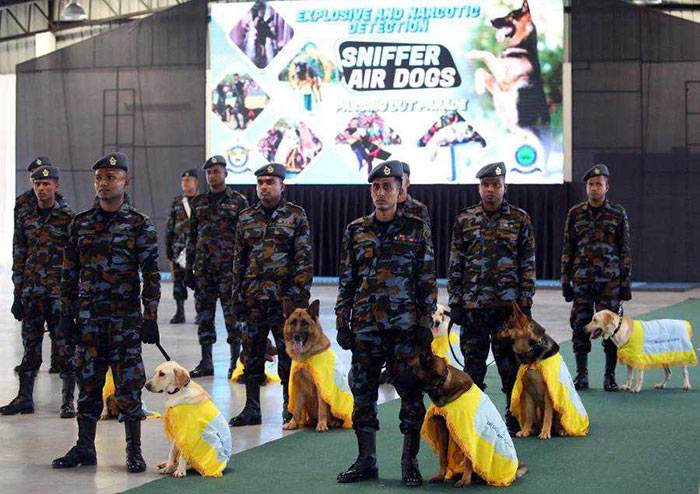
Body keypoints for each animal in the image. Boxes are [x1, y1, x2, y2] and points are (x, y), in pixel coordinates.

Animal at [464, 0, 552, 162]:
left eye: (510, 16)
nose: (491, 20)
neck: (522, 46)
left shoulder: (503, 80)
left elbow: (487, 54)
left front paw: (473, 54)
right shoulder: (497, 85)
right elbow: (480, 70)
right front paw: (479, 87)